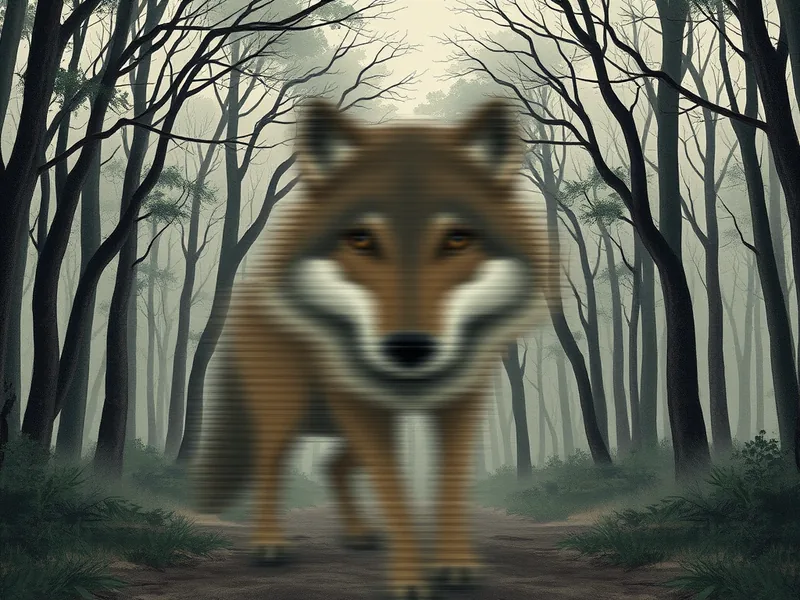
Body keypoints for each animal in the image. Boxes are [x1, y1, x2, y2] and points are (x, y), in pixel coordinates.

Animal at [191, 98, 558, 599]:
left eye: (457, 239)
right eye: (361, 239)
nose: (409, 347)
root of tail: (248, 288)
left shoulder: (461, 404)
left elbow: (450, 484)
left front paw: (456, 565)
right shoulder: (361, 409)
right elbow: (395, 494)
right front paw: (409, 581)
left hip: (337, 421)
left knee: (332, 466)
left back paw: (358, 533)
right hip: (289, 413)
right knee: (271, 466)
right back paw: (269, 544)